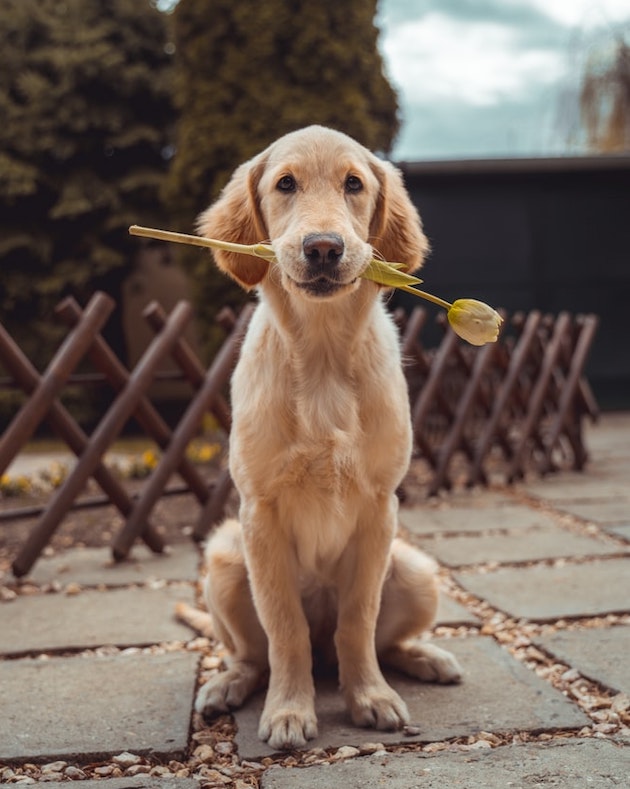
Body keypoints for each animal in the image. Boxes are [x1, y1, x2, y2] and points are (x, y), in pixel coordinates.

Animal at [183, 126, 464, 748]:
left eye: (353, 184)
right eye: (285, 183)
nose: (323, 249)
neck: (323, 355)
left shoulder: (380, 508)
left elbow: (359, 620)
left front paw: (370, 697)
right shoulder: (259, 513)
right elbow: (284, 627)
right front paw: (290, 710)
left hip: (415, 569)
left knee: (377, 641)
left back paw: (424, 658)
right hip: (225, 559)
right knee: (254, 655)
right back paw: (226, 686)